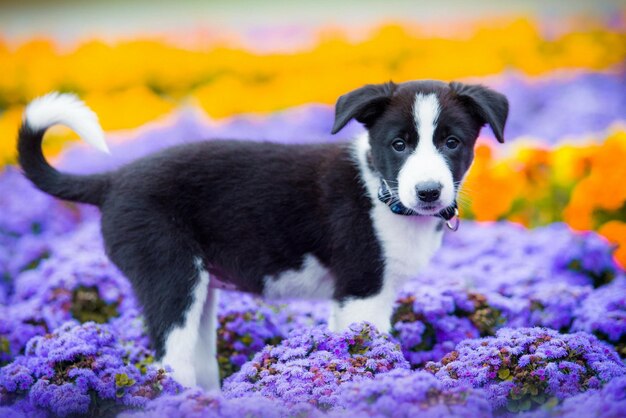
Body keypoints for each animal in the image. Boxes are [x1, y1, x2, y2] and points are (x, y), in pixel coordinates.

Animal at [17, 81, 508, 388]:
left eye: (452, 143)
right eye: (399, 144)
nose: (429, 192)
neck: (381, 190)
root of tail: (112, 180)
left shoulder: (356, 299)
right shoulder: (362, 290)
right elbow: (373, 347)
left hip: (201, 292)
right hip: (170, 280)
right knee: (170, 365)